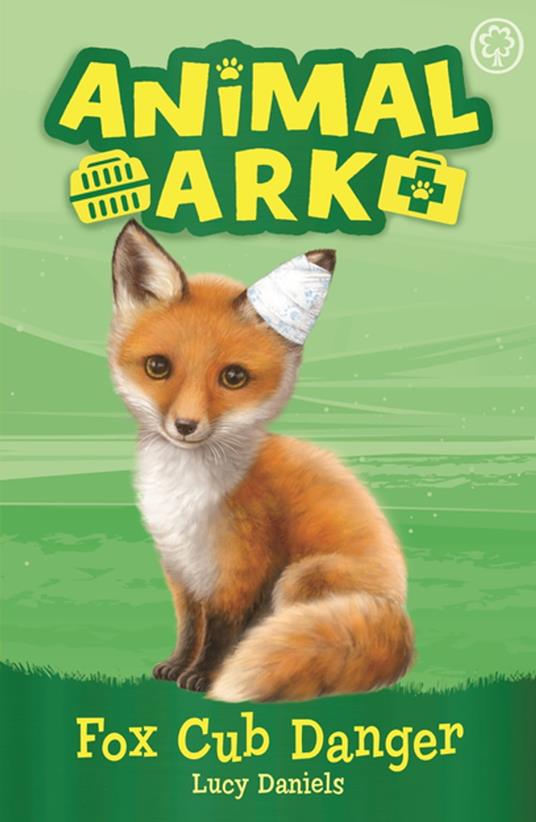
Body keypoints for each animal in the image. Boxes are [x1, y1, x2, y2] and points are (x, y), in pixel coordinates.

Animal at [108, 219, 414, 702]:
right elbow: (189, 627)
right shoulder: (181, 570)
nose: (185, 426)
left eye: (233, 377)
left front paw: (204, 677)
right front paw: (177, 666)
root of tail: (398, 616)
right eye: (157, 367)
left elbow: (219, 634)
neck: (185, 496)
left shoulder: (240, 573)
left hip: (302, 577)